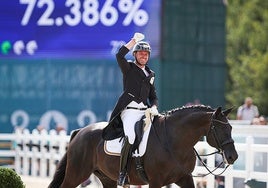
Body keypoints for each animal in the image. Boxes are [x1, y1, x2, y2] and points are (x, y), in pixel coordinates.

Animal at [49, 106, 238, 188]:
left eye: (230, 128)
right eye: (219, 129)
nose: (233, 156)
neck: (175, 142)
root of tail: (81, 131)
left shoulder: (184, 178)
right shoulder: (156, 182)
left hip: (107, 178)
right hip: (76, 174)